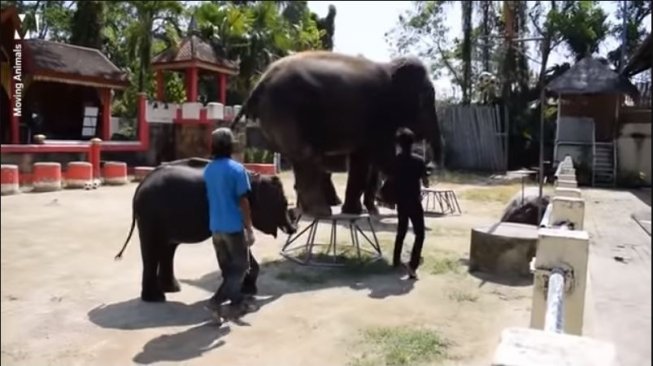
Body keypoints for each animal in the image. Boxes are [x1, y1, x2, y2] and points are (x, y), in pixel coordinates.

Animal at [114, 157, 296, 304]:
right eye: (284, 203)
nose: (294, 228)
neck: (253, 176)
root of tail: (140, 186)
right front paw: (246, 290)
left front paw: (247, 289)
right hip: (149, 216)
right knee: (152, 251)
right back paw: (156, 298)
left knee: (167, 249)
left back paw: (172, 289)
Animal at [230, 51, 444, 217]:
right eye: (426, 99)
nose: (429, 168)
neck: (390, 66)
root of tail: (260, 82)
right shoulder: (377, 115)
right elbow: (382, 157)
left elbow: (362, 159)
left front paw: (355, 211)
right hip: (285, 109)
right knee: (307, 155)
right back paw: (320, 211)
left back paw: (308, 210)